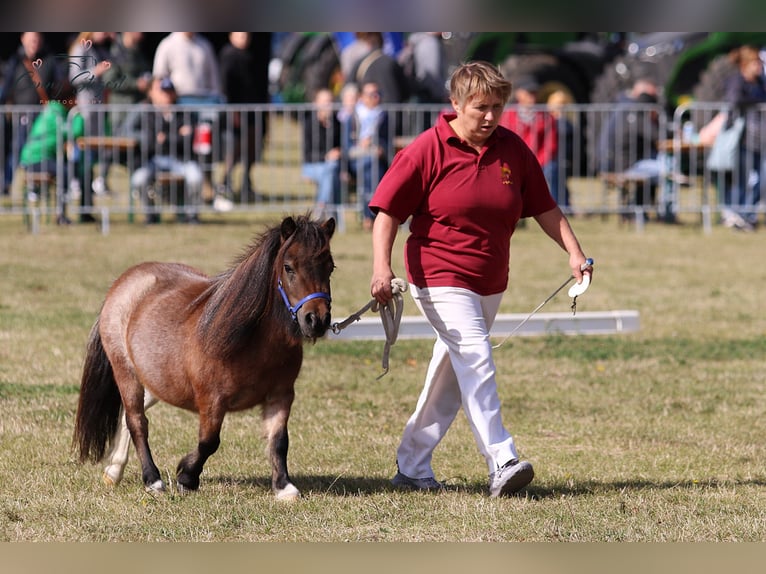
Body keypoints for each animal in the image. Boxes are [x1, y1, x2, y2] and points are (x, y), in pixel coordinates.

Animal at [74, 214, 336, 502]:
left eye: (330, 267)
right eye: (289, 267)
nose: (317, 320)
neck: (248, 339)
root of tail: (124, 282)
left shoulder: (281, 396)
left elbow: (279, 441)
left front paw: (284, 487)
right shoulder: (212, 400)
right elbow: (209, 441)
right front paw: (186, 476)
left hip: (156, 380)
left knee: (129, 416)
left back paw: (114, 471)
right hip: (126, 372)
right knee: (137, 421)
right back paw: (152, 480)